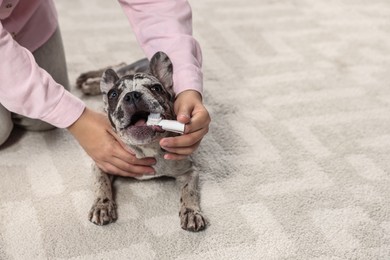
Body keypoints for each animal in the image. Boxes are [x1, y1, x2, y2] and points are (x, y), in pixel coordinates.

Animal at [74, 51, 206, 232]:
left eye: (156, 88)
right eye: (113, 95)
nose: (132, 95)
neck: (147, 147)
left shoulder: (189, 171)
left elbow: (189, 191)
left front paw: (191, 212)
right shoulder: (102, 164)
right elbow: (101, 184)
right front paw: (102, 206)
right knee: (116, 68)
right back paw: (88, 81)